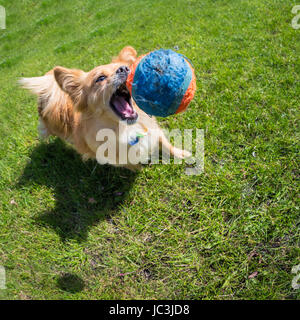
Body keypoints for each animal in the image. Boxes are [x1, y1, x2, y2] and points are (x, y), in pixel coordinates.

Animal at [19, 46, 191, 171]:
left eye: (126, 68)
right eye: (100, 78)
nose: (123, 69)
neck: (126, 128)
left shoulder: (154, 130)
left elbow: (166, 144)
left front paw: (181, 154)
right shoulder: (116, 159)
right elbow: (132, 165)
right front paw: (141, 170)